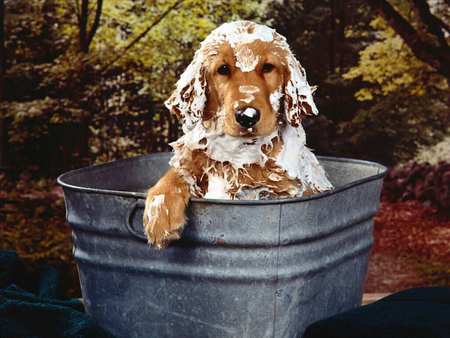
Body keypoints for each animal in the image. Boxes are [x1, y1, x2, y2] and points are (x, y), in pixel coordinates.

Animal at [142, 20, 332, 248]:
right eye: (223, 69)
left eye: (268, 67)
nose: (247, 116)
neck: (239, 151)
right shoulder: (192, 160)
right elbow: (175, 175)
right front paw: (160, 217)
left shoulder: (282, 189)